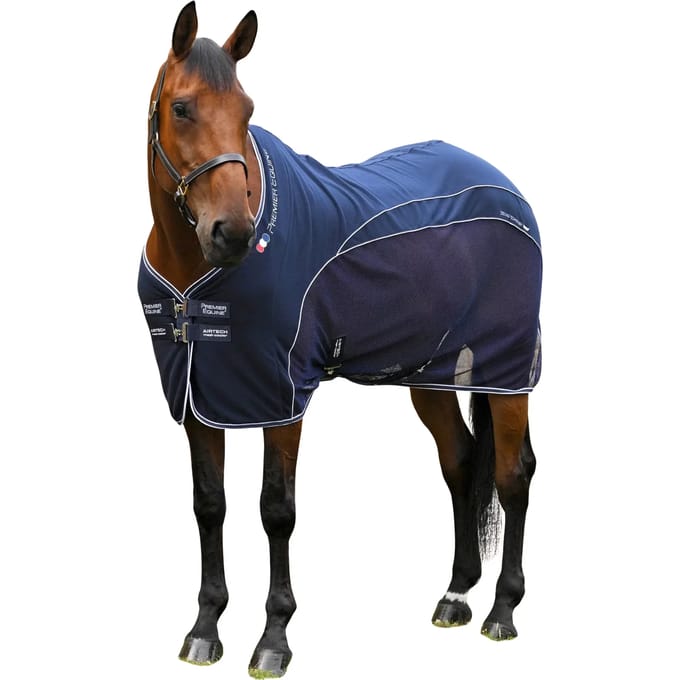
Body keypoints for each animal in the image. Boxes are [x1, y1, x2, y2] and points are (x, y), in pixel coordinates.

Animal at [139, 3, 541, 677]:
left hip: (507, 372)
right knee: (461, 462)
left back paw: (502, 611)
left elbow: (276, 510)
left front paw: (273, 639)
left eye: (247, 109)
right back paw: (456, 595)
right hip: (429, 375)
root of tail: (504, 186)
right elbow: (209, 504)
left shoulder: (281, 395)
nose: (233, 233)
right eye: (183, 107)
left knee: (513, 474)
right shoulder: (199, 395)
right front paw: (204, 629)